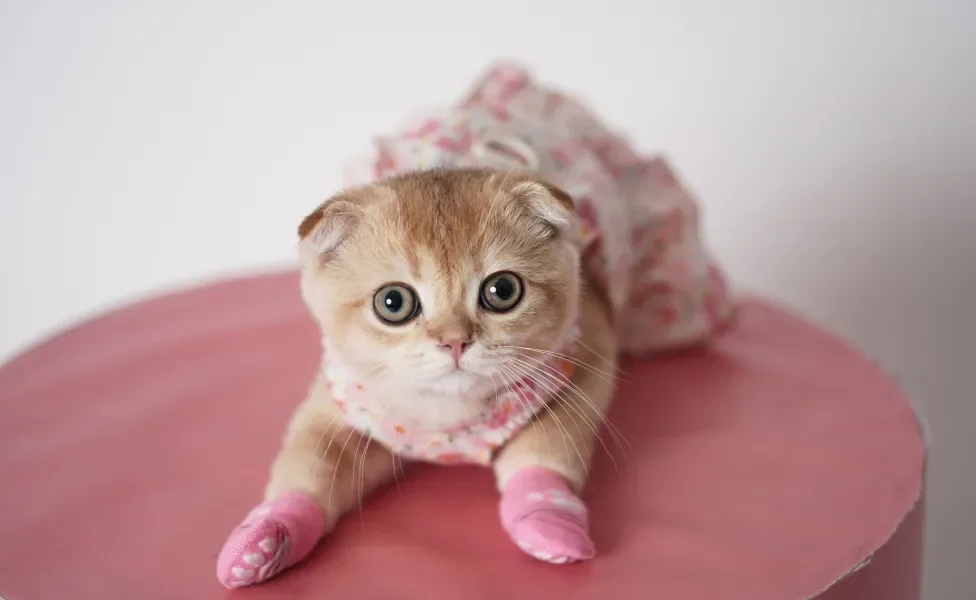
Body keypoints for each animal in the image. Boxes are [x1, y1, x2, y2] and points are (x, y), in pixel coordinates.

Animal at [218, 168, 620, 584]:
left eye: (503, 289)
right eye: (393, 302)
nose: (455, 340)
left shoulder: (586, 360)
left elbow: (545, 448)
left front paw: (548, 519)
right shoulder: (338, 406)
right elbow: (309, 463)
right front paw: (266, 536)